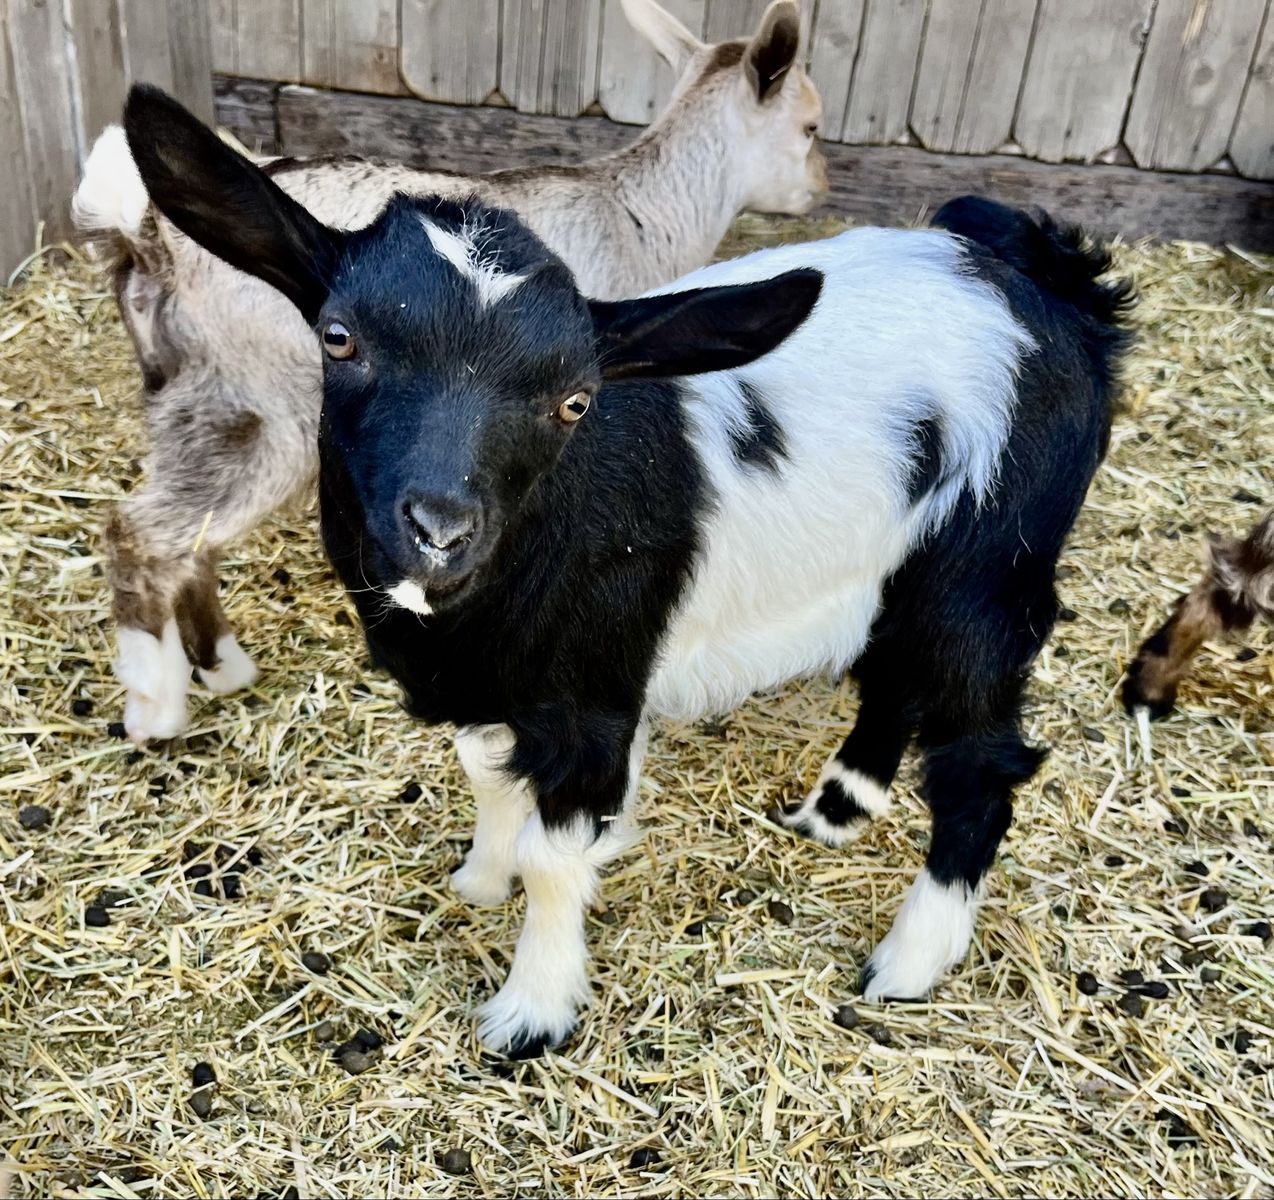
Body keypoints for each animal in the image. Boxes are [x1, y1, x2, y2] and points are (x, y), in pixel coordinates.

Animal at [71, 0, 827, 744]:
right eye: (811, 126)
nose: (820, 190)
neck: (641, 213)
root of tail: (146, 237)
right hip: (259, 407)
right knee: (146, 532)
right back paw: (156, 707)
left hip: (190, 402)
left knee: (187, 534)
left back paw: (221, 665)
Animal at [126, 86, 1133, 1057]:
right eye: (338, 338)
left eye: (576, 400)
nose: (440, 531)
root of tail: (1049, 279)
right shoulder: (499, 680)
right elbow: (488, 777)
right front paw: (480, 877)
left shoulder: (594, 696)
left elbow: (554, 857)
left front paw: (531, 1013)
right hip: (904, 562)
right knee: (894, 675)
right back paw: (835, 811)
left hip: (991, 567)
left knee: (978, 762)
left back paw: (909, 964)